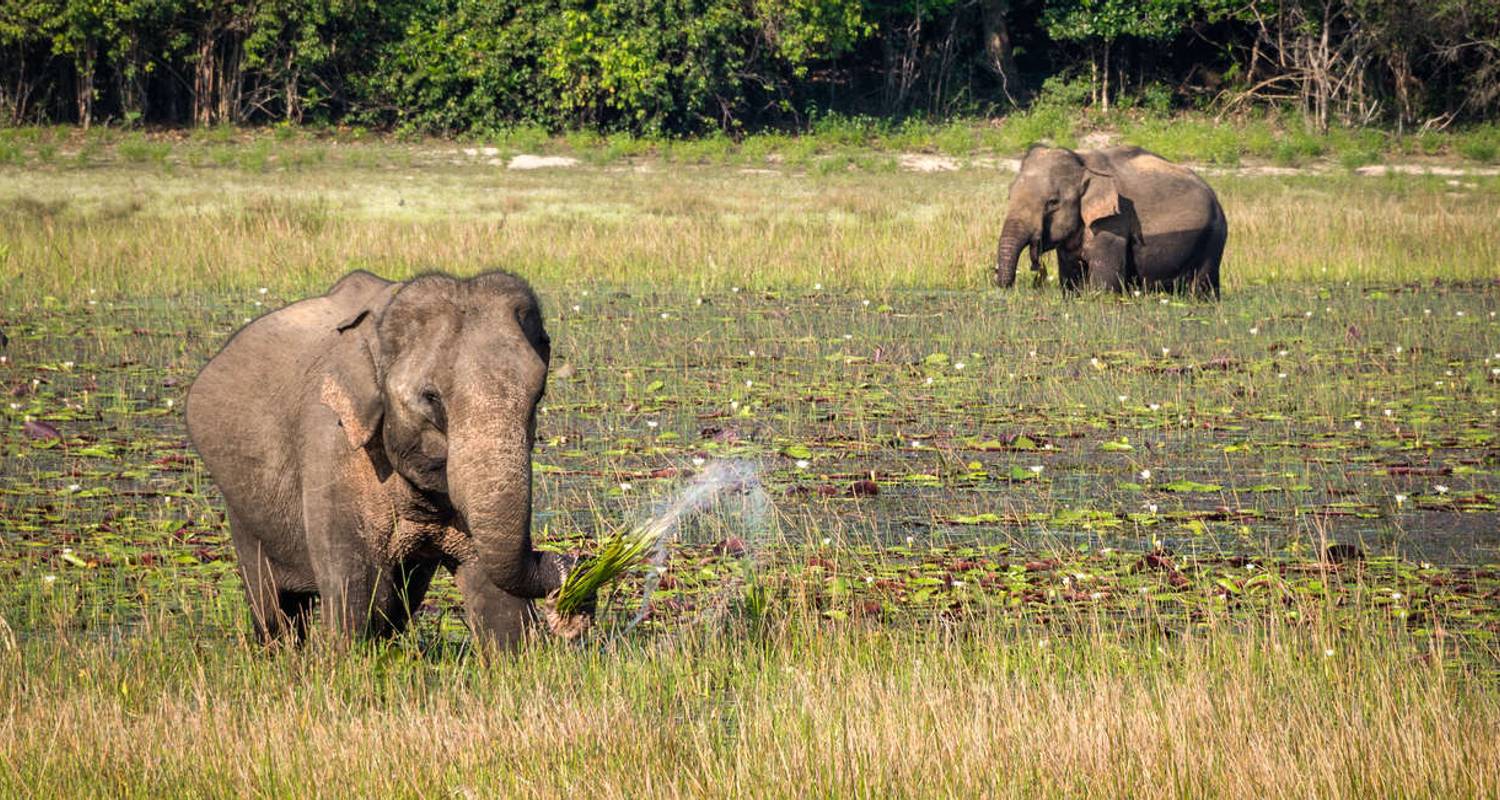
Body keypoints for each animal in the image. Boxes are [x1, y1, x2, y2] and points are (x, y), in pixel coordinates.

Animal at [184, 268, 588, 648]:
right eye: (431, 397)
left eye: (538, 393)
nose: (576, 566)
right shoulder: (332, 448)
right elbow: (356, 587)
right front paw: (348, 659)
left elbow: (497, 596)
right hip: (241, 507)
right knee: (273, 603)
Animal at [990, 144, 1224, 297]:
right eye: (1010, 194)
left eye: (1052, 202)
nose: (996, 277)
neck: (1082, 161)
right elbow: (1071, 279)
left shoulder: (1113, 224)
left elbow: (1104, 286)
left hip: (1213, 240)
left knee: (1202, 285)